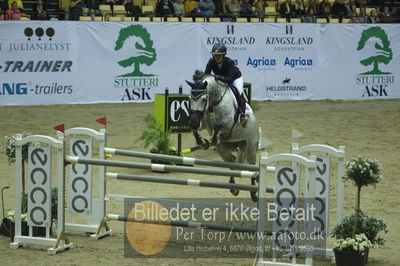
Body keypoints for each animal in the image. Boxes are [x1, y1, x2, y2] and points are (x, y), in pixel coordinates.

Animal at [186, 70, 258, 202]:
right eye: (189, 99)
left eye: (203, 99)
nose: (193, 122)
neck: (214, 101)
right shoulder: (203, 120)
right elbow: (197, 130)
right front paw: (203, 142)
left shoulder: (228, 123)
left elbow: (218, 126)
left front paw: (214, 140)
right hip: (224, 150)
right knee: (232, 162)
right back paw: (234, 188)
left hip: (251, 146)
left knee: (253, 168)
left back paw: (254, 193)